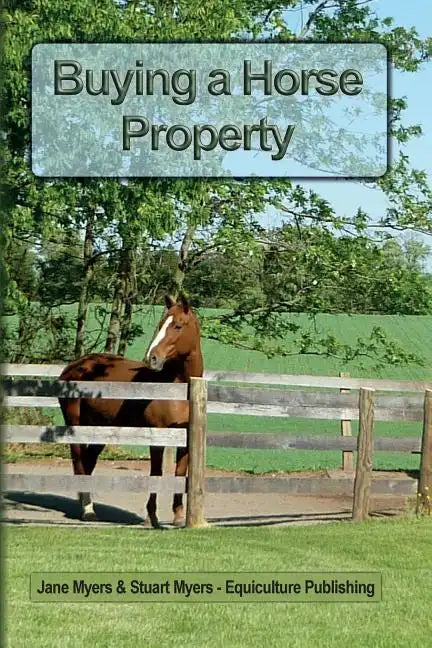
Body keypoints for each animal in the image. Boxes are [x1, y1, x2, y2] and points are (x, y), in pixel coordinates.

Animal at [58, 294, 203, 528]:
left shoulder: (186, 438)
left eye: (178, 325)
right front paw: (150, 517)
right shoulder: (157, 435)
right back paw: (88, 510)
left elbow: (180, 473)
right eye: (160, 324)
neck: (178, 389)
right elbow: (156, 473)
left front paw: (179, 516)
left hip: (101, 428)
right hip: (76, 425)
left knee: (88, 462)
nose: (152, 358)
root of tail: (74, 367)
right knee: (79, 462)